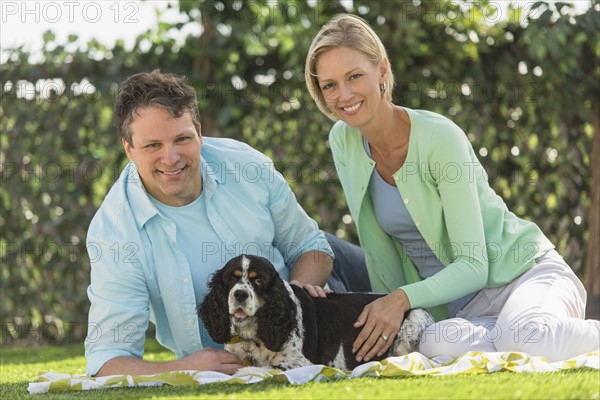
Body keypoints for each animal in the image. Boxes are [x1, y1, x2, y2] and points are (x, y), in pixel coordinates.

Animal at [199, 255, 434, 370]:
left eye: (258, 281)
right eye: (232, 278)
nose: (239, 294)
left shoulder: (300, 362)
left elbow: (264, 369)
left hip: (413, 324)